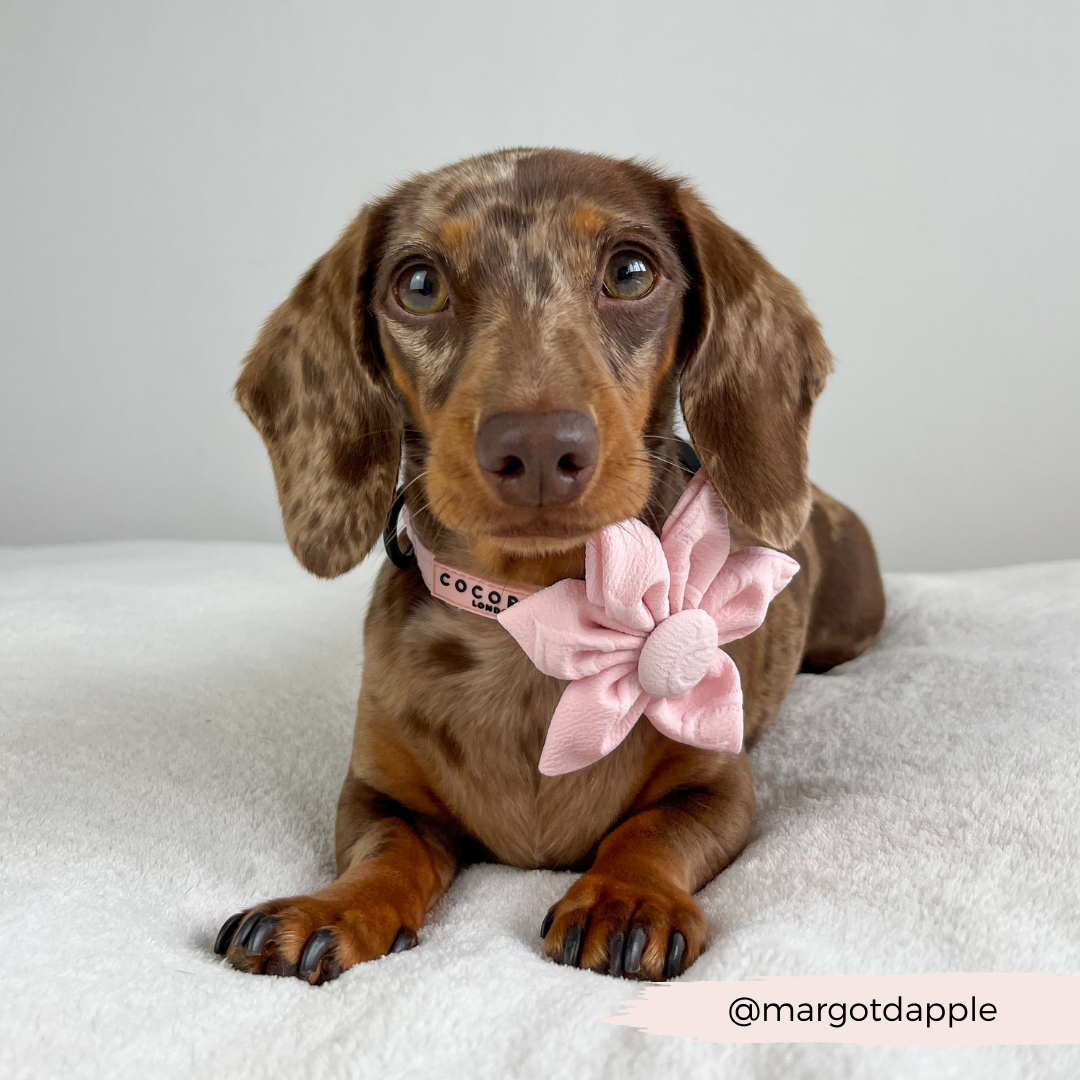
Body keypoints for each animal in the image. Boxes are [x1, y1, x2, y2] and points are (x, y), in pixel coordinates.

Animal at [214, 150, 881, 989]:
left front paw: (625, 899)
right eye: (419, 284)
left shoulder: (715, 787)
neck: (533, 609)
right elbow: (384, 850)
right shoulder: (377, 793)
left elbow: (650, 833)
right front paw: (332, 909)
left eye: (631, 271)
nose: (535, 450)